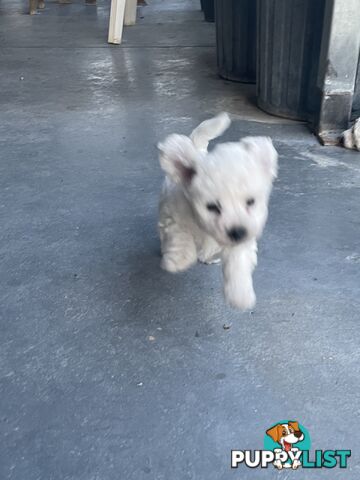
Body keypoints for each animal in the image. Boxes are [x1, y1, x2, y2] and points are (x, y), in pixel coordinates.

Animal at [158, 112, 278, 310]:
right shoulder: (174, 214)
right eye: (212, 207)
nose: (238, 232)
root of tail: (198, 150)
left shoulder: (244, 237)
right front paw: (179, 259)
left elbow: (238, 262)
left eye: (250, 202)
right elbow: (181, 236)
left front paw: (240, 295)